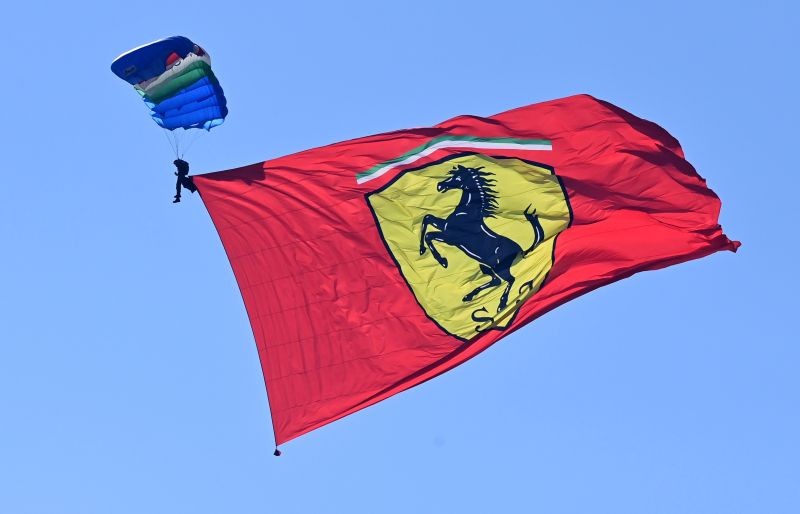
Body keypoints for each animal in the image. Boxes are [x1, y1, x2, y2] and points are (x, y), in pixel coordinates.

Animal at [418, 165, 544, 308]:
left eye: (458, 177)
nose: (439, 185)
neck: (467, 213)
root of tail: (521, 251)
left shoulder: (449, 237)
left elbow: (429, 235)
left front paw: (443, 262)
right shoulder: (444, 227)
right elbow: (427, 218)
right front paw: (421, 250)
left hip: (501, 268)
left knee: (510, 279)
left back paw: (501, 304)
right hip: (485, 265)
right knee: (496, 281)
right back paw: (469, 296)